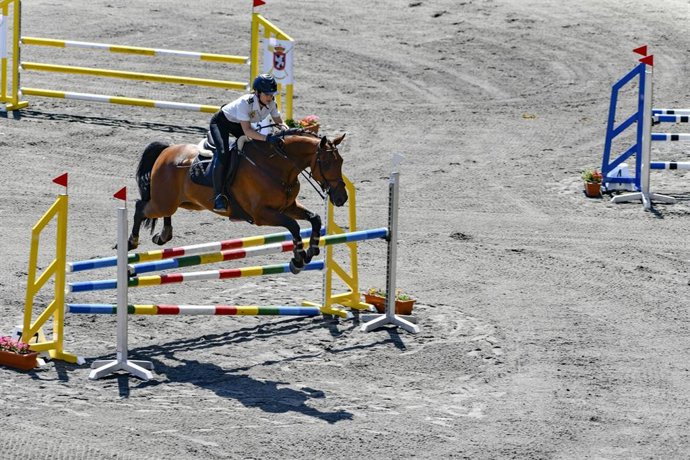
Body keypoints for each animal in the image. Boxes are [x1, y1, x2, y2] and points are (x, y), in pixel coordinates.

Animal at [128, 133, 348, 274]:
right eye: (326, 163)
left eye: (342, 162)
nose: (342, 198)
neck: (276, 167)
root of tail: (167, 151)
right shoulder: (262, 214)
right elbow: (293, 226)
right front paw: (298, 259)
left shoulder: (288, 207)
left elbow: (315, 219)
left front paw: (312, 250)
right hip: (163, 202)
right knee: (140, 208)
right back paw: (132, 242)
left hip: (183, 202)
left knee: (163, 212)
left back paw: (163, 235)